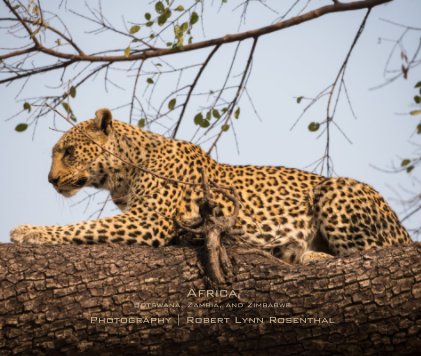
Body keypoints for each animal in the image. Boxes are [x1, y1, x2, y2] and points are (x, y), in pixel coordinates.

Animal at [10, 108, 414, 264]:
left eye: (69, 151)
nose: (50, 179)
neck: (123, 172)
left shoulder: (149, 221)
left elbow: (81, 228)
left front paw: (28, 231)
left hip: (335, 190)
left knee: (373, 252)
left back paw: (303, 253)